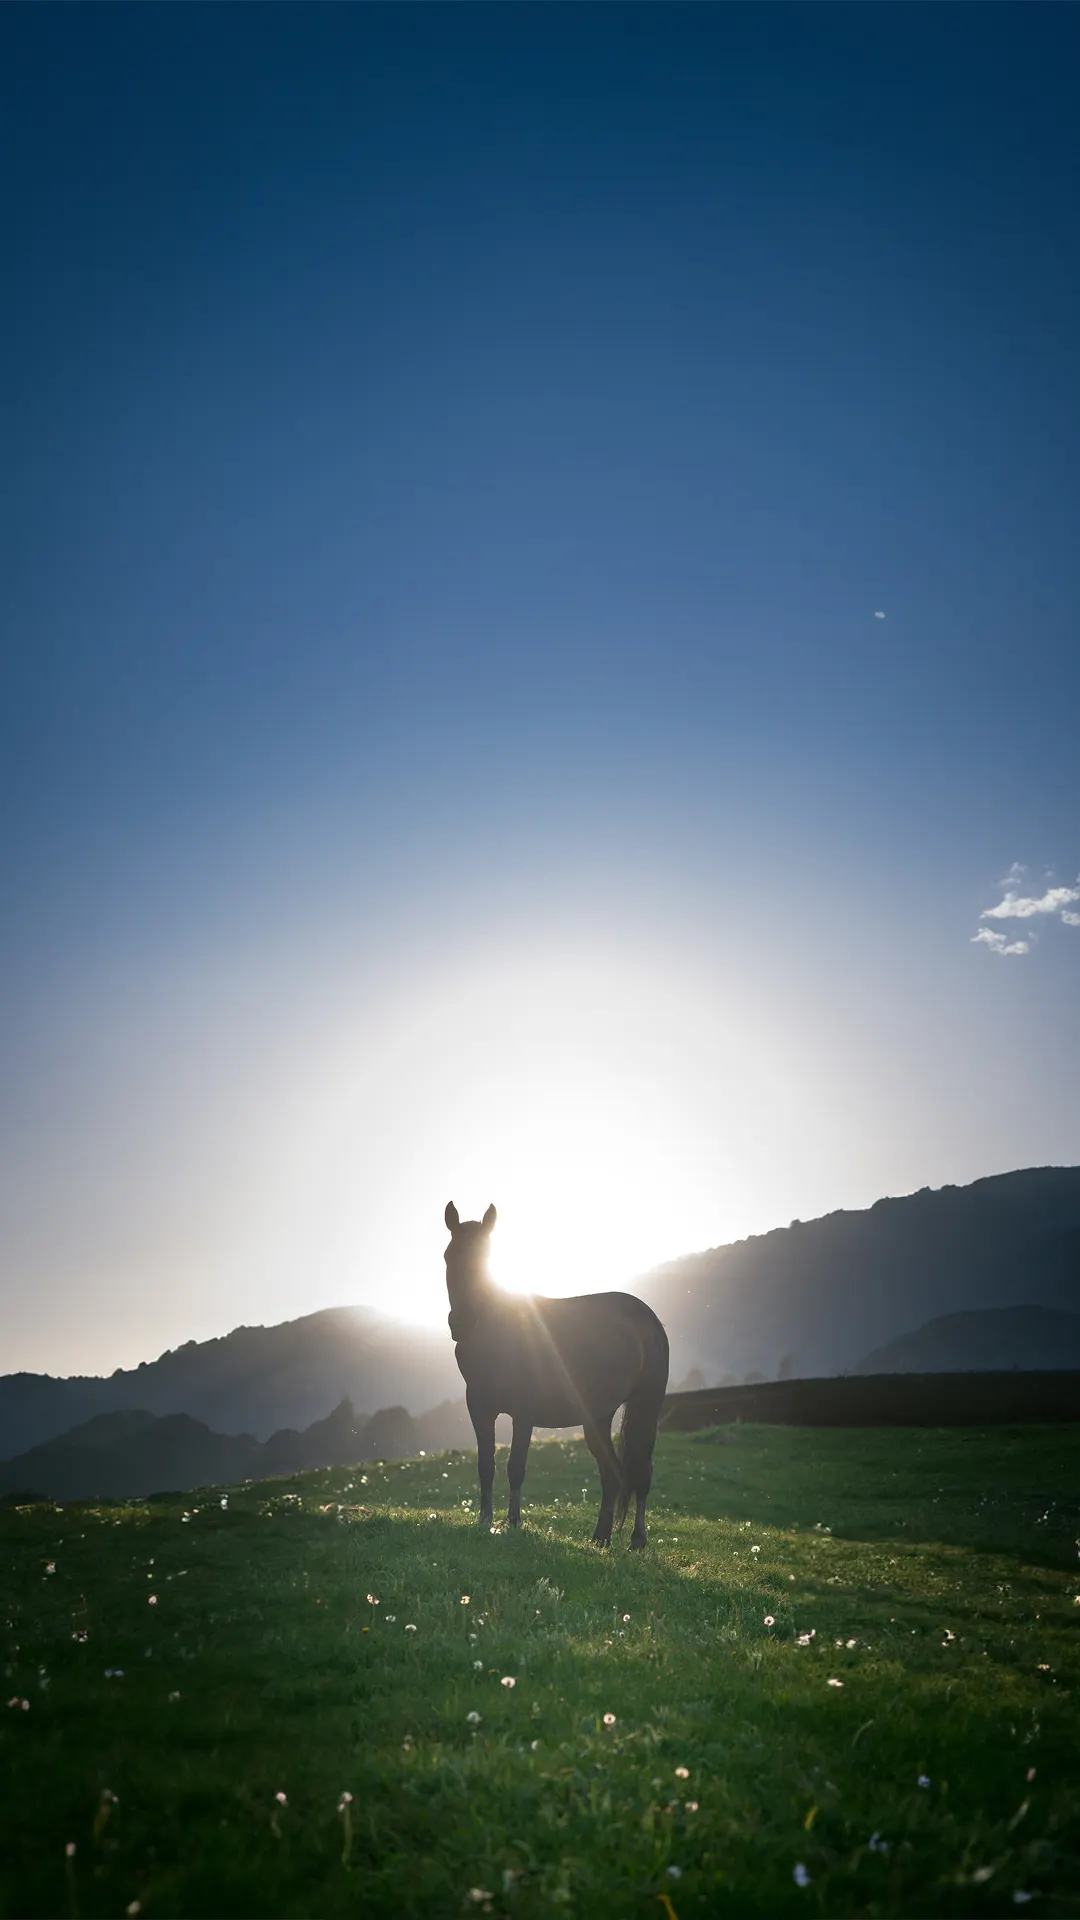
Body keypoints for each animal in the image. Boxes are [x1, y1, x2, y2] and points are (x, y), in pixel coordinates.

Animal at [443, 1201, 670, 1548]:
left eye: (485, 1258)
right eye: (447, 1256)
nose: (462, 1323)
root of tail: (651, 1319)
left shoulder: (524, 1411)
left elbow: (516, 1467)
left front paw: (513, 1522)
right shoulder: (479, 1407)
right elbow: (485, 1467)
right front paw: (485, 1521)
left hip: (646, 1405)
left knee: (640, 1472)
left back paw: (637, 1539)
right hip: (597, 1418)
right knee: (613, 1475)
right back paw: (601, 1537)